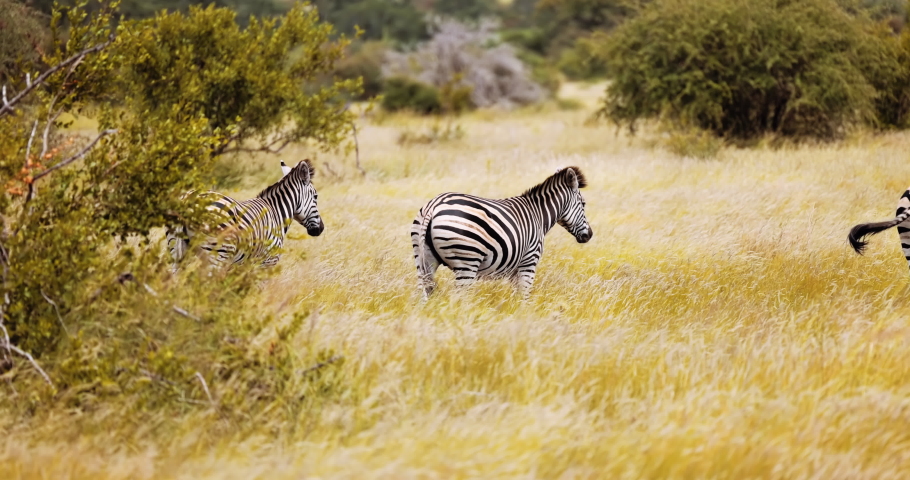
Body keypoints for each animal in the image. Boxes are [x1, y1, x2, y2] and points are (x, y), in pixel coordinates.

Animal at [167, 159, 324, 268]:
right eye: (316, 197)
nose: (321, 229)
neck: (277, 212)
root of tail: (188, 199)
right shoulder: (267, 262)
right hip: (218, 254)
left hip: (175, 252)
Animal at [410, 166, 592, 299]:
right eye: (583, 204)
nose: (589, 235)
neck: (538, 214)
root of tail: (434, 205)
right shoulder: (529, 262)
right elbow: (524, 298)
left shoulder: (515, 269)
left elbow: (516, 298)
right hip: (467, 262)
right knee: (458, 299)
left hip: (422, 259)